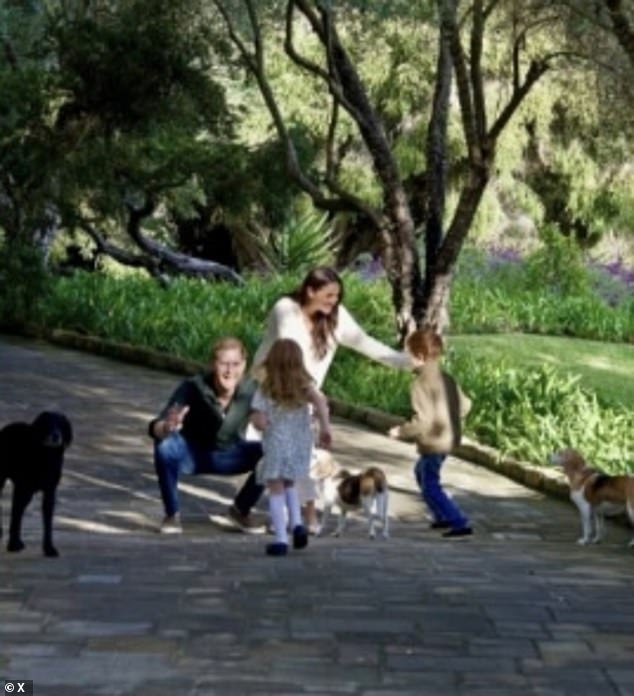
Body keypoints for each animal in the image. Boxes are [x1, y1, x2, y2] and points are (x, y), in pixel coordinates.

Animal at [0, 410, 72, 556]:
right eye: (48, 423)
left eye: (61, 424)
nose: (56, 435)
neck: (46, 455)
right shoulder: (21, 488)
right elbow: (15, 516)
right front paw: (12, 545)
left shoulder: (50, 491)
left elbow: (47, 521)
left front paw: (49, 548)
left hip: (28, 493)